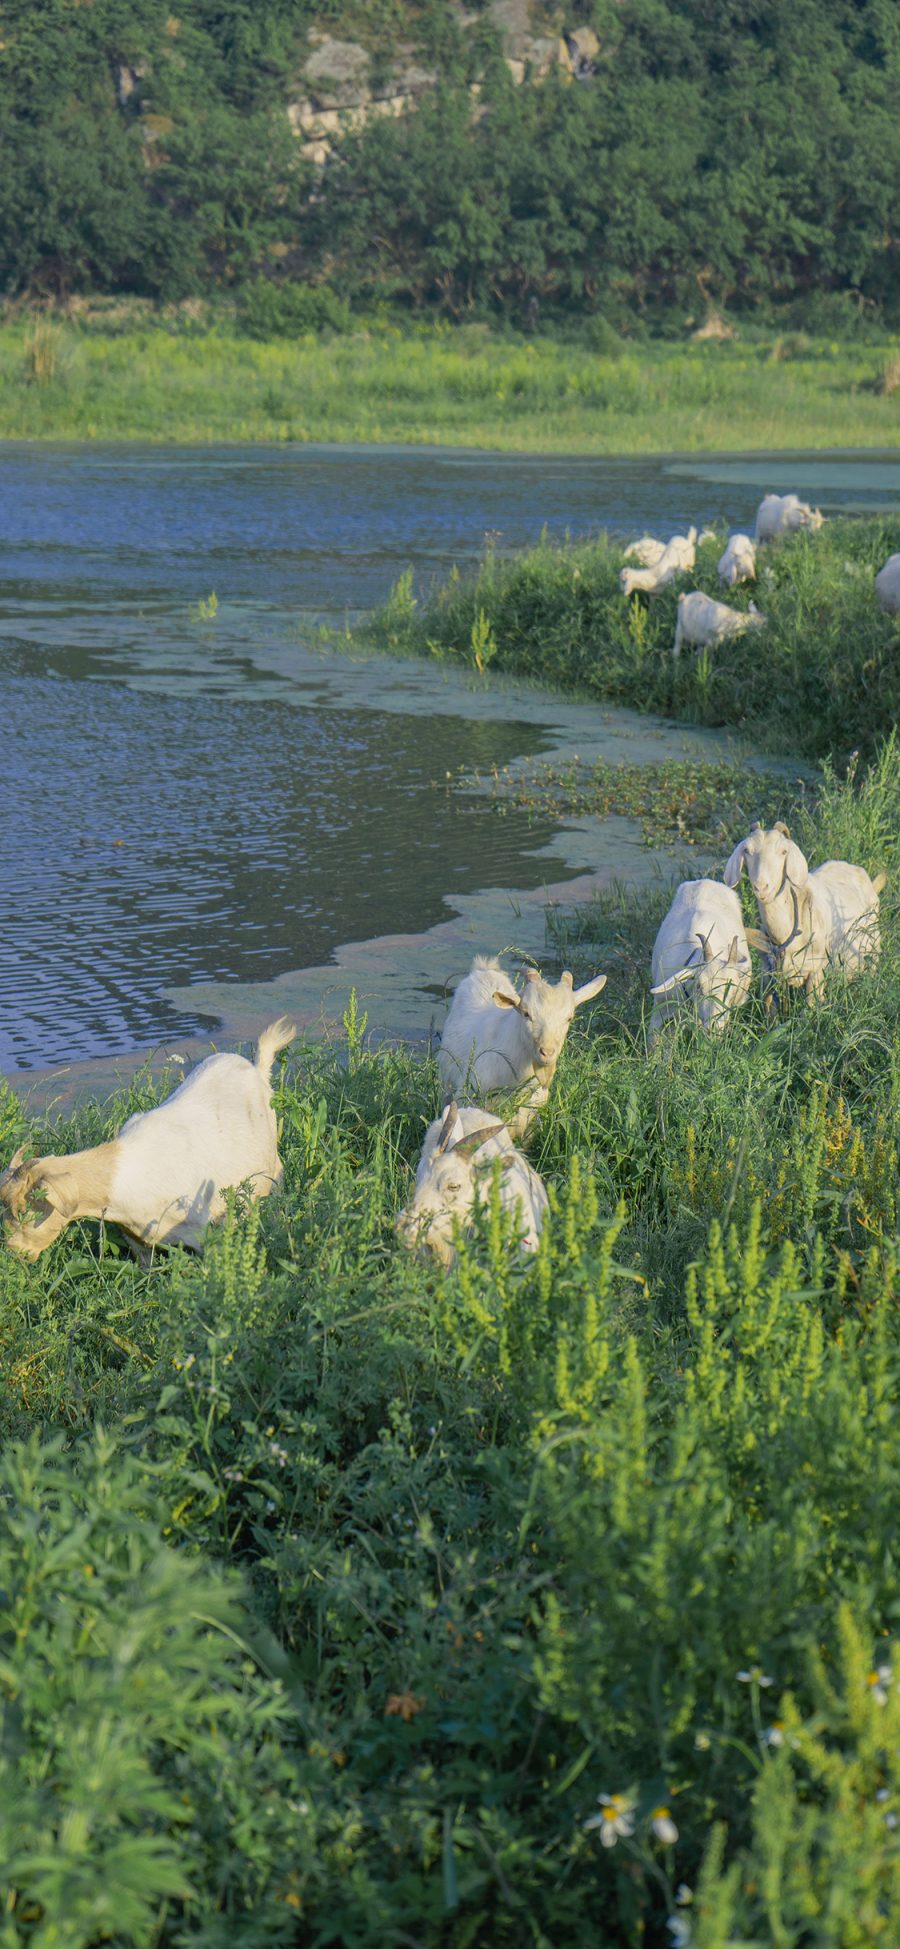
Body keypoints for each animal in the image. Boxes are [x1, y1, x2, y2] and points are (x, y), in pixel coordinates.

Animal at [0, 1021, 296, 1262]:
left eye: (24, 1210)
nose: (14, 1253)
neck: (127, 1174)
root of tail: (256, 1069)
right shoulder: (138, 1240)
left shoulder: (206, 1233)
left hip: (271, 1171)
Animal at [720, 826, 880, 1005]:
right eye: (747, 850)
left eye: (783, 851)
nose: (761, 887)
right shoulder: (768, 974)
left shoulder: (816, 972)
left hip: (872, 950)